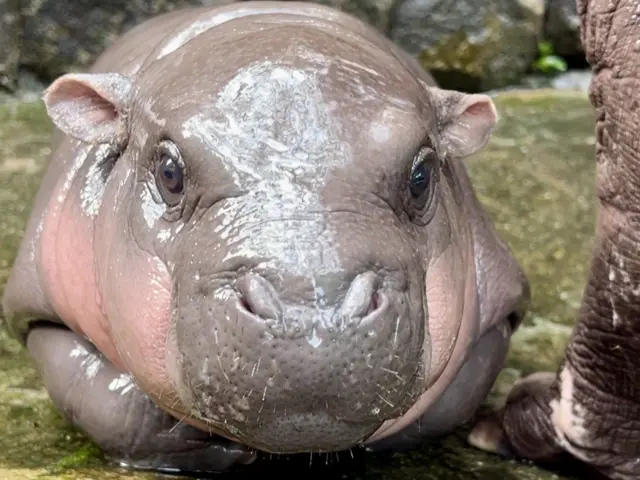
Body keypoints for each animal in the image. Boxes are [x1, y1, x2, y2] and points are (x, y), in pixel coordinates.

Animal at [1, 1, 529, 473]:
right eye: (169, 171)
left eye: (421, 177)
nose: (312, 320)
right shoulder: (36, 311)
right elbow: (106, 402)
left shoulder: (498, 314)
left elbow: (450, 402)